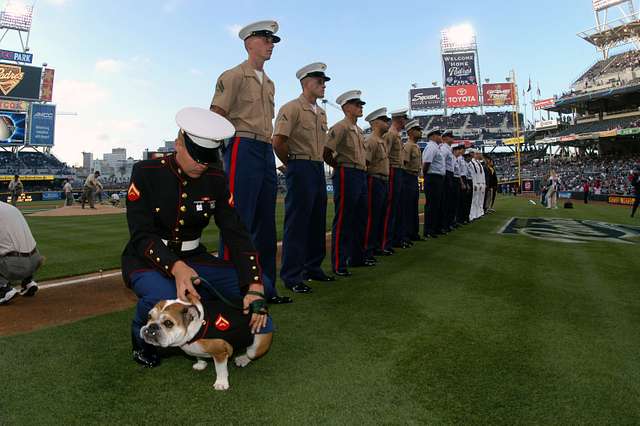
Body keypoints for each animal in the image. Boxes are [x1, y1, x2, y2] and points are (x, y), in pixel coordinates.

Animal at [140, 296, 272, 390]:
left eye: (168, 323)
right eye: (149, 316)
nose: (151, 326)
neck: (196, 330)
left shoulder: (219, 353)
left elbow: (220, 369)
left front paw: (221, 383)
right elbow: (198, 356)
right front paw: (201, 364)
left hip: (256, 344)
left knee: (251, 353)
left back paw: (243, 359)